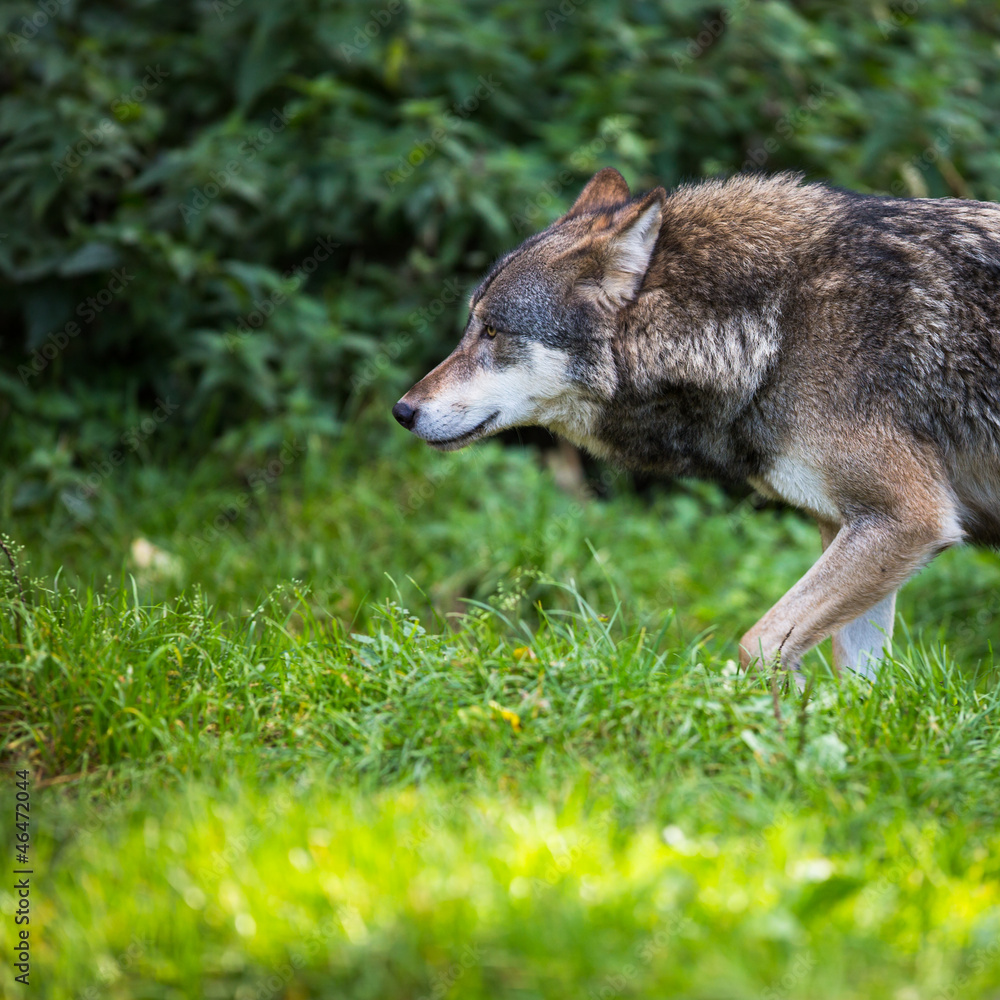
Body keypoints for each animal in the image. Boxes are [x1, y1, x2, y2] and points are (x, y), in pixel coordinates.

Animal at [393, 167, 1000, 679]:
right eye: (470, 326)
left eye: (492, 331)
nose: (402, 411)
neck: (774, 328)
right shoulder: (853, 524)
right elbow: (863, 687)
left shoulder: (908, 518)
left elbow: (758, 644)